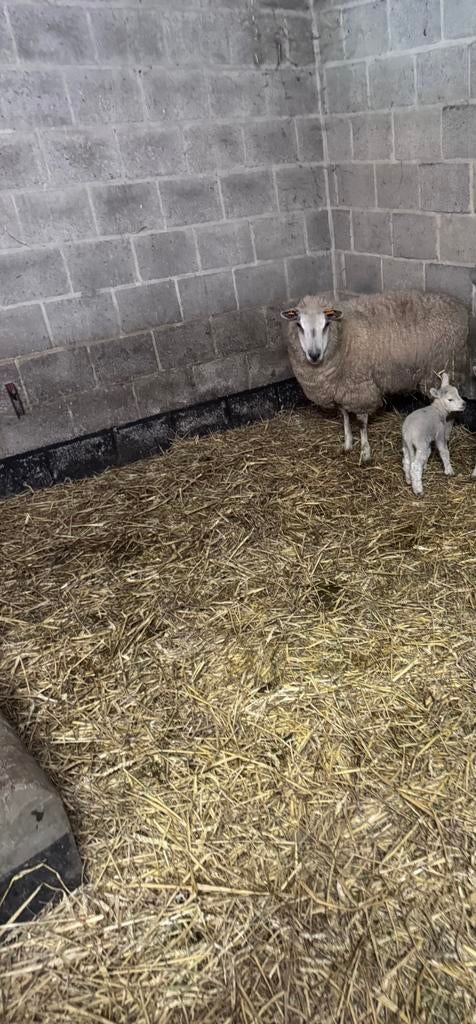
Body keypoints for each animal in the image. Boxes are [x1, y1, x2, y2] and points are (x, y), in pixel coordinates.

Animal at [281, 290, 470, 464]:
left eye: (326, 324)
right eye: (299, 325)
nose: (314, 355)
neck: (344, 337)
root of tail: (459, 305)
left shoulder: (360, 388)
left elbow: (362, 423)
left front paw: (365, 453)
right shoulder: (343, 388)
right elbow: (344, 416)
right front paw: (348, 443)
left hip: (442, 369)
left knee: (450, 409)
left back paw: (446, 435)